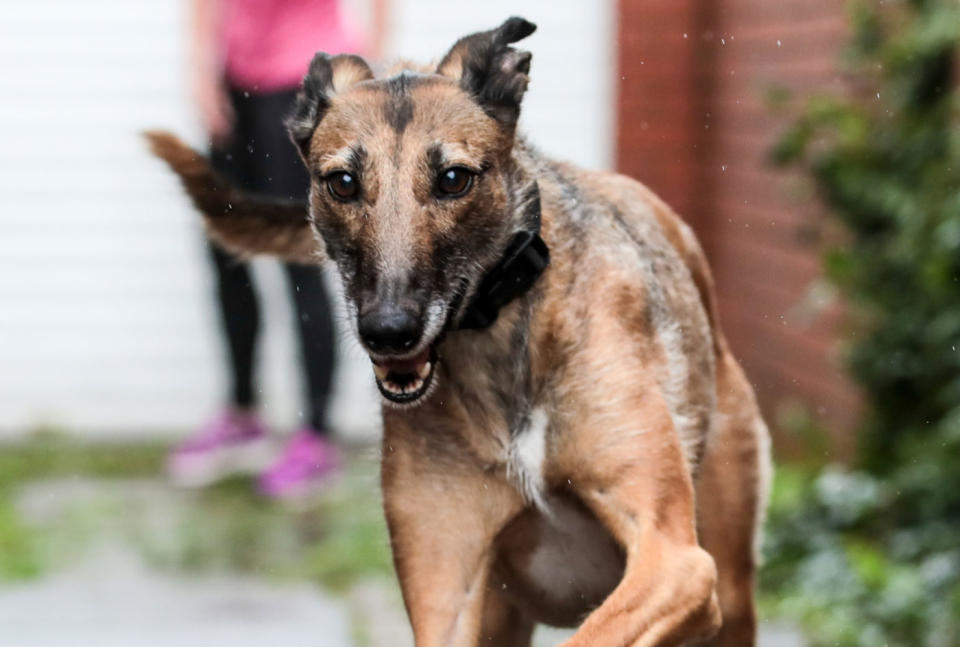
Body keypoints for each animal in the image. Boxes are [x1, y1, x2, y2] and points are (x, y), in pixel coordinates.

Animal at [148, 16, 772, 647]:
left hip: (730, 588)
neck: (501, 337)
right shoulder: (445, 588)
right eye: (342, 182)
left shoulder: (675, 561)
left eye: (453, 179)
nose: (388, 330)